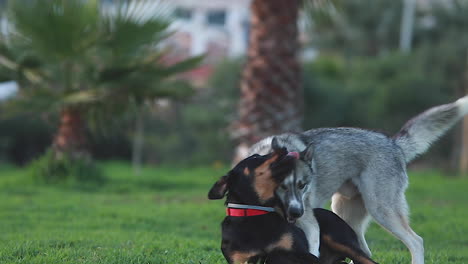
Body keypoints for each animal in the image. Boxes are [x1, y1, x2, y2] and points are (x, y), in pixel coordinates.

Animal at [208, 147, 376, 262]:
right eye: (256, 157)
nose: (283, 149)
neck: (255, 213)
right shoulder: (240, 259)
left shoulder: (301, 252)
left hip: (340, 239)